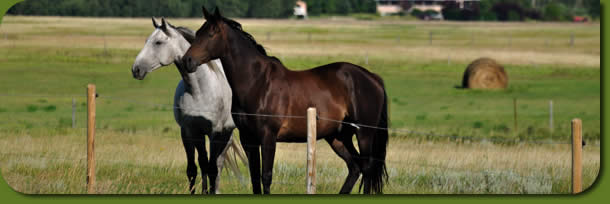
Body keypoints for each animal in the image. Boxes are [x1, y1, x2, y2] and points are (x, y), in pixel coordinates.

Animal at [131, 17, 245, 194]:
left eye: (158, 42)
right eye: (146, 41)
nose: (136, 69)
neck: (199, 90)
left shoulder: (214, 132)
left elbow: (212, 168)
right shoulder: (188, 131)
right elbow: (193, 169)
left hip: (226, 134)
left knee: (217, 165)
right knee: (204, 162)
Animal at [183, 6, 388, 194]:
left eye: (211, 34)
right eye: (198, 33)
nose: (187, 61)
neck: (257, 82)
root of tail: (371, 77)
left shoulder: (268, 137)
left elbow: (266, 176)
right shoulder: (248, 139)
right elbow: (255, 177)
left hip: (364, 134)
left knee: (367, 168)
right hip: (338, 136)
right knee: (355, 167)